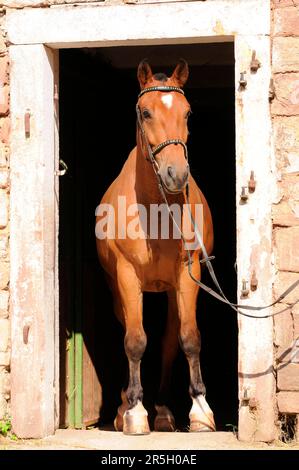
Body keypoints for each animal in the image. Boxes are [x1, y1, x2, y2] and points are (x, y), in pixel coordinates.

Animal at [96, 60, 216, 436]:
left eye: (188, 112)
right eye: (146, 112)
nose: (176, 175)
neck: (156, 210)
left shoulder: (188, 274)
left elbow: (188, 338)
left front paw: (200, 410)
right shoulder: (126, 276)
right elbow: (135, 340)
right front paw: (134, 412)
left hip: (171, 291)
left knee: (168, 342)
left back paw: (162, 411)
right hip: (118, 290)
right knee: (129, 331)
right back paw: (124, 406)